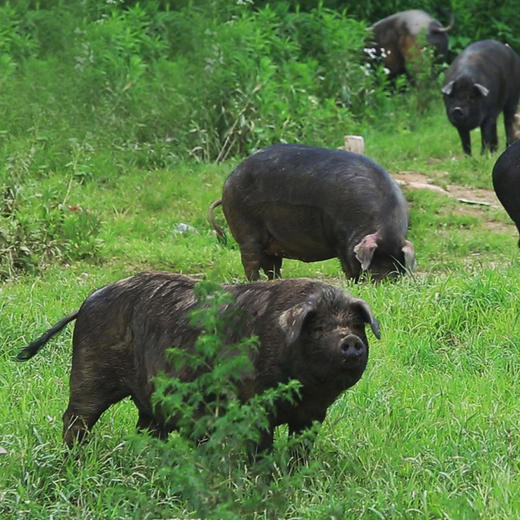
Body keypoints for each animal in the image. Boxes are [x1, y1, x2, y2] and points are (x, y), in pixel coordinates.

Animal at [18, 272, 380, 456]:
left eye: (356, 324)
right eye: (319, 328)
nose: (350, 341)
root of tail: (86, 302)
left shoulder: (313, 414)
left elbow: (301, 448)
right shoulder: (253, 405)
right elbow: (261, 446)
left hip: (148, 395)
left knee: (147, 426)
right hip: (89, 370)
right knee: (76, 416)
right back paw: (74, 457)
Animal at [207, 144, 414, 282]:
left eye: (397, 264)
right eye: (374, 258)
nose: (385, 282)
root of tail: (226, 185)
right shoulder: (340, 241)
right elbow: (348, 267)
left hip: (271, 240)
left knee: (272, 266)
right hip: (246, 228)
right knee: (250, 261)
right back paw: (255, 283)